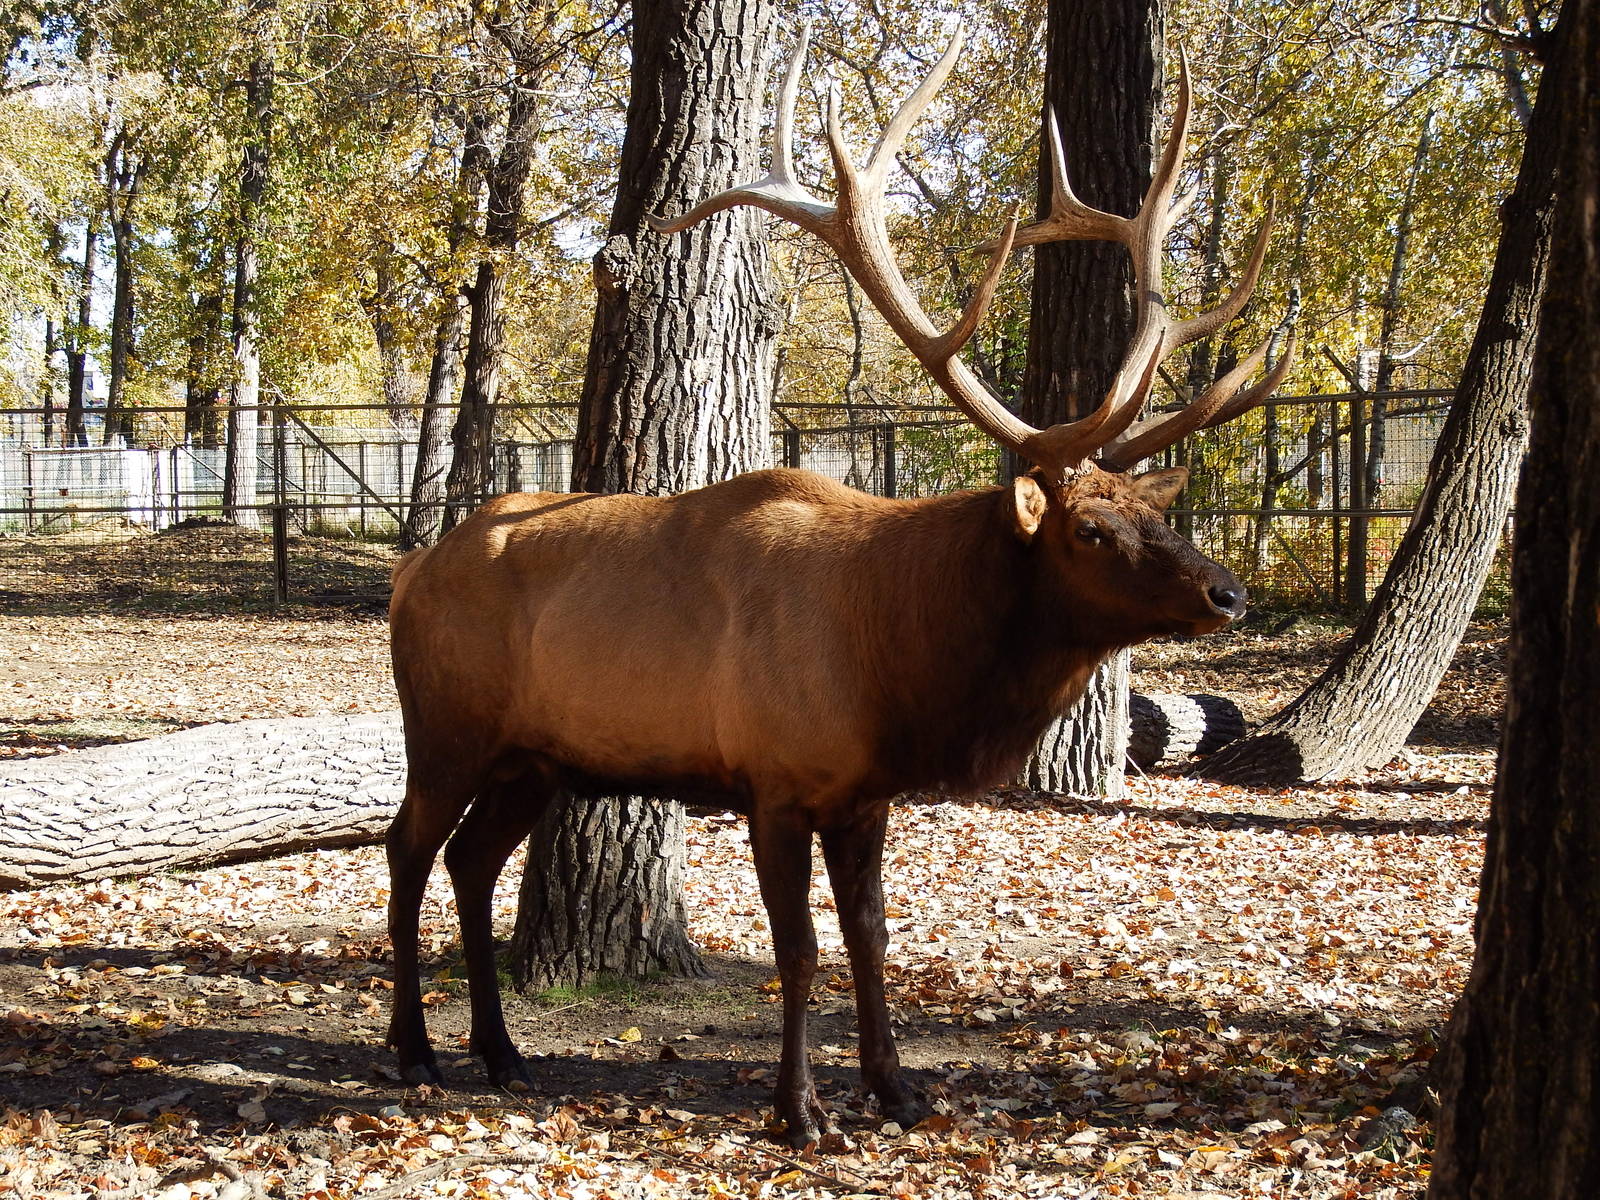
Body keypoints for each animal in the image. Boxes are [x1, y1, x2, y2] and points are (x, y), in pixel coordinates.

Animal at [385, 26, 1293, 1148]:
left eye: (1156, 513)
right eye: (1089, 528)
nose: (1226, 594)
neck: (897, 668)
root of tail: (408, 572)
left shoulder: (864, 797)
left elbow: (869, 936)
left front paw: (896, 1088)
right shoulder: (775, 780)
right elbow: (799, 948)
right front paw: (800, 1110)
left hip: (535, 757)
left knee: (471, 862)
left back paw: (502, 1052)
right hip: (448, 725)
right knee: (407, 850)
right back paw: (417, 1051)